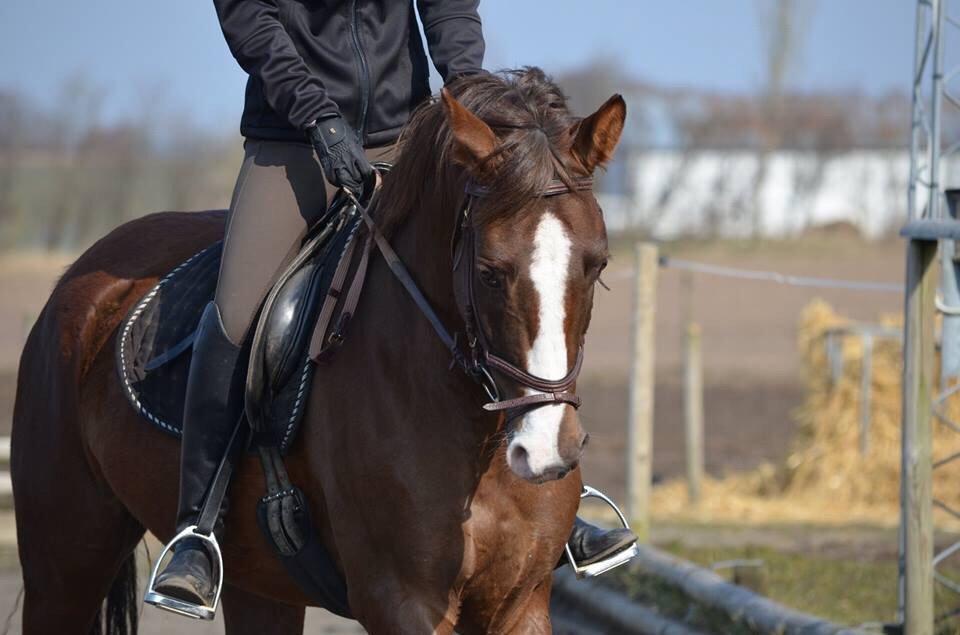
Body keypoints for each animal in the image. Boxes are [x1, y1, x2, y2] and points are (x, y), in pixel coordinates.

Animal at [11, 69, 628, 635]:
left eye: (597, 264)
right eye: (489, 274)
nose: (546, 452)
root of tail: (84, 277)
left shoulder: (521, 603)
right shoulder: (401, 602)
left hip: (258, 585)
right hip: (63, 568)